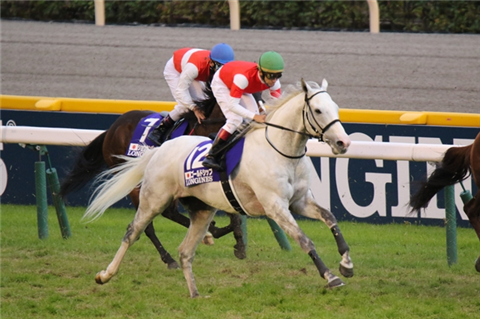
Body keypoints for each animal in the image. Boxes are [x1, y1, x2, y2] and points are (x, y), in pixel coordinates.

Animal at [60, 91, 246, 268]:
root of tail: (112, 129)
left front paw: (238, 241)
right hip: (137, 181)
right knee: (152, 222)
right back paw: (170, 258)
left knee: (168, 213)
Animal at [86, 79, 354, 298]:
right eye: (318, 110)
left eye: (336, 108)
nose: (344, 142)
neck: (280, 151)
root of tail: (160, 149)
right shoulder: (275, 206)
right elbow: (304, 240)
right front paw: (330, 276)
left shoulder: (299, 201)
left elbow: (330, 218)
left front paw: (346, 264)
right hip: (153, 199)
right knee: (134, 232)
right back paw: (105, 275)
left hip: (202, 210)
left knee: (185, 249)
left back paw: (195, 291)